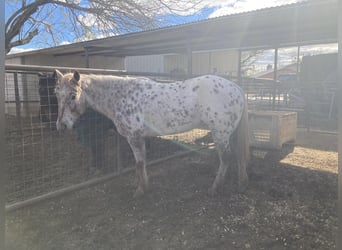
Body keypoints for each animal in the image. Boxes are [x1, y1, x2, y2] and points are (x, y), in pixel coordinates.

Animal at [54, 70, 250, 197]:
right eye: (57, 95)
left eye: (73, 95)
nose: (61, 126)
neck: (121, 96)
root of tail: (236, 87)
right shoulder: (141, 138)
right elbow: (142, 163)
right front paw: (144, 186)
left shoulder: (134, 138)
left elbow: (139, 164)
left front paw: (140, 191)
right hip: (229, 134)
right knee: (239, 155)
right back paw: (241, 184)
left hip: (220, 134)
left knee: (226, 158)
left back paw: (214, 189)